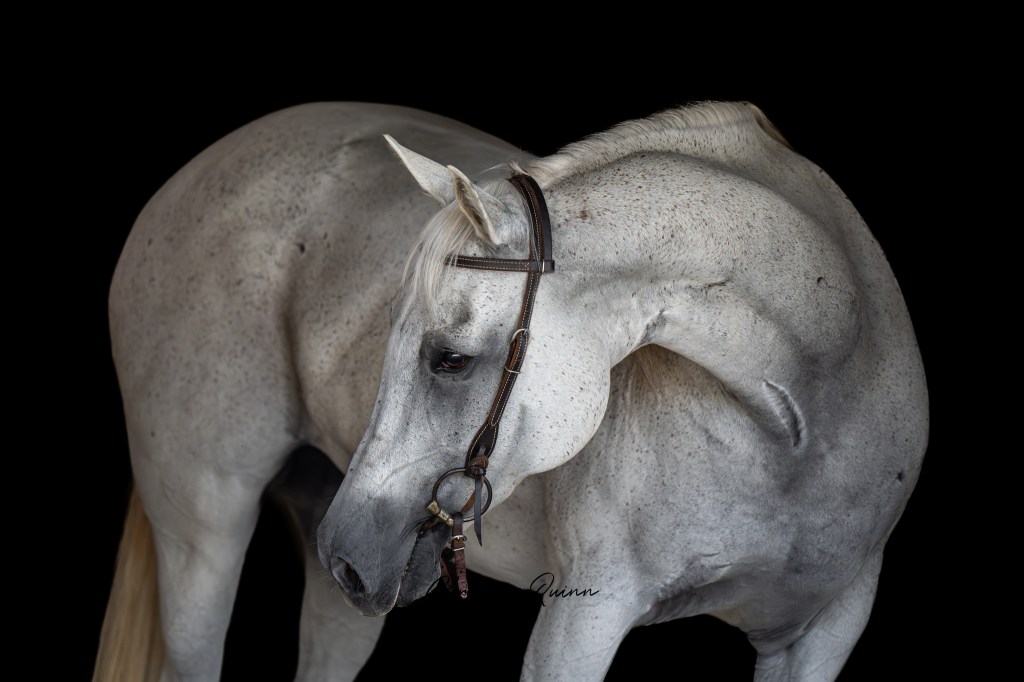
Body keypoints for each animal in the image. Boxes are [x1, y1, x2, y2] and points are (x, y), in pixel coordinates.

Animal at [94, 101, 927, 681]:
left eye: (450, 360)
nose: (345, 550)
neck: (802, 429)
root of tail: (193, 172)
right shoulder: (582, 618)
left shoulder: (825, 631)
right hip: (204, 534)